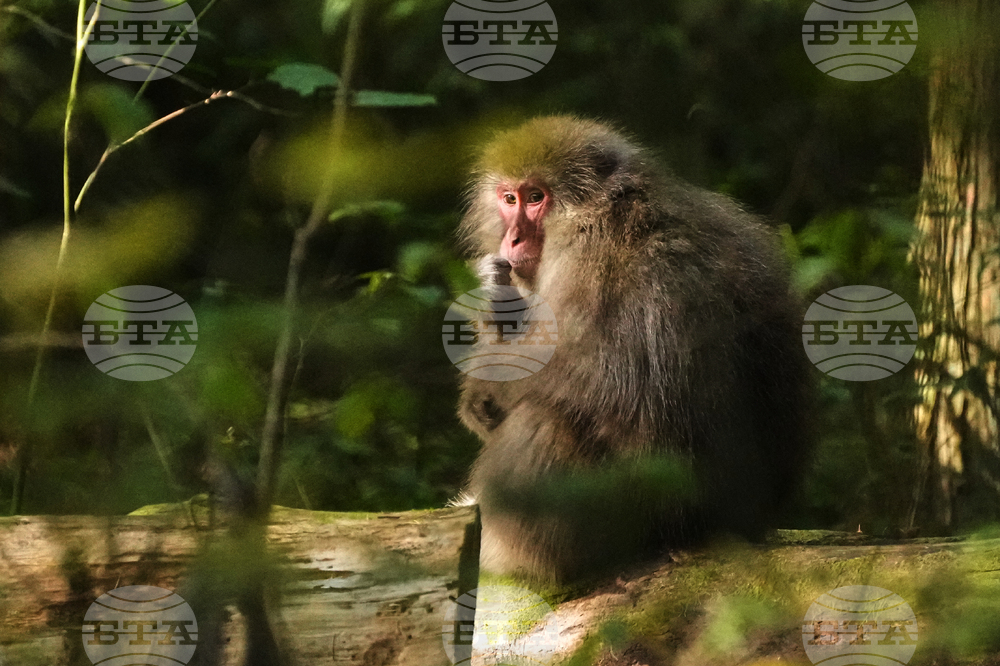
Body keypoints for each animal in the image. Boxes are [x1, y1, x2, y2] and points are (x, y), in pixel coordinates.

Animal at [454, 116, 810, 583]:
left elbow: (597, 373)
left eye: (535, 198)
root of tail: (733, 525)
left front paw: (482, 385)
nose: (512, 239)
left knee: (545, 418)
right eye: (508, 198)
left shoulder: (588, 251)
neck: (607, 207)